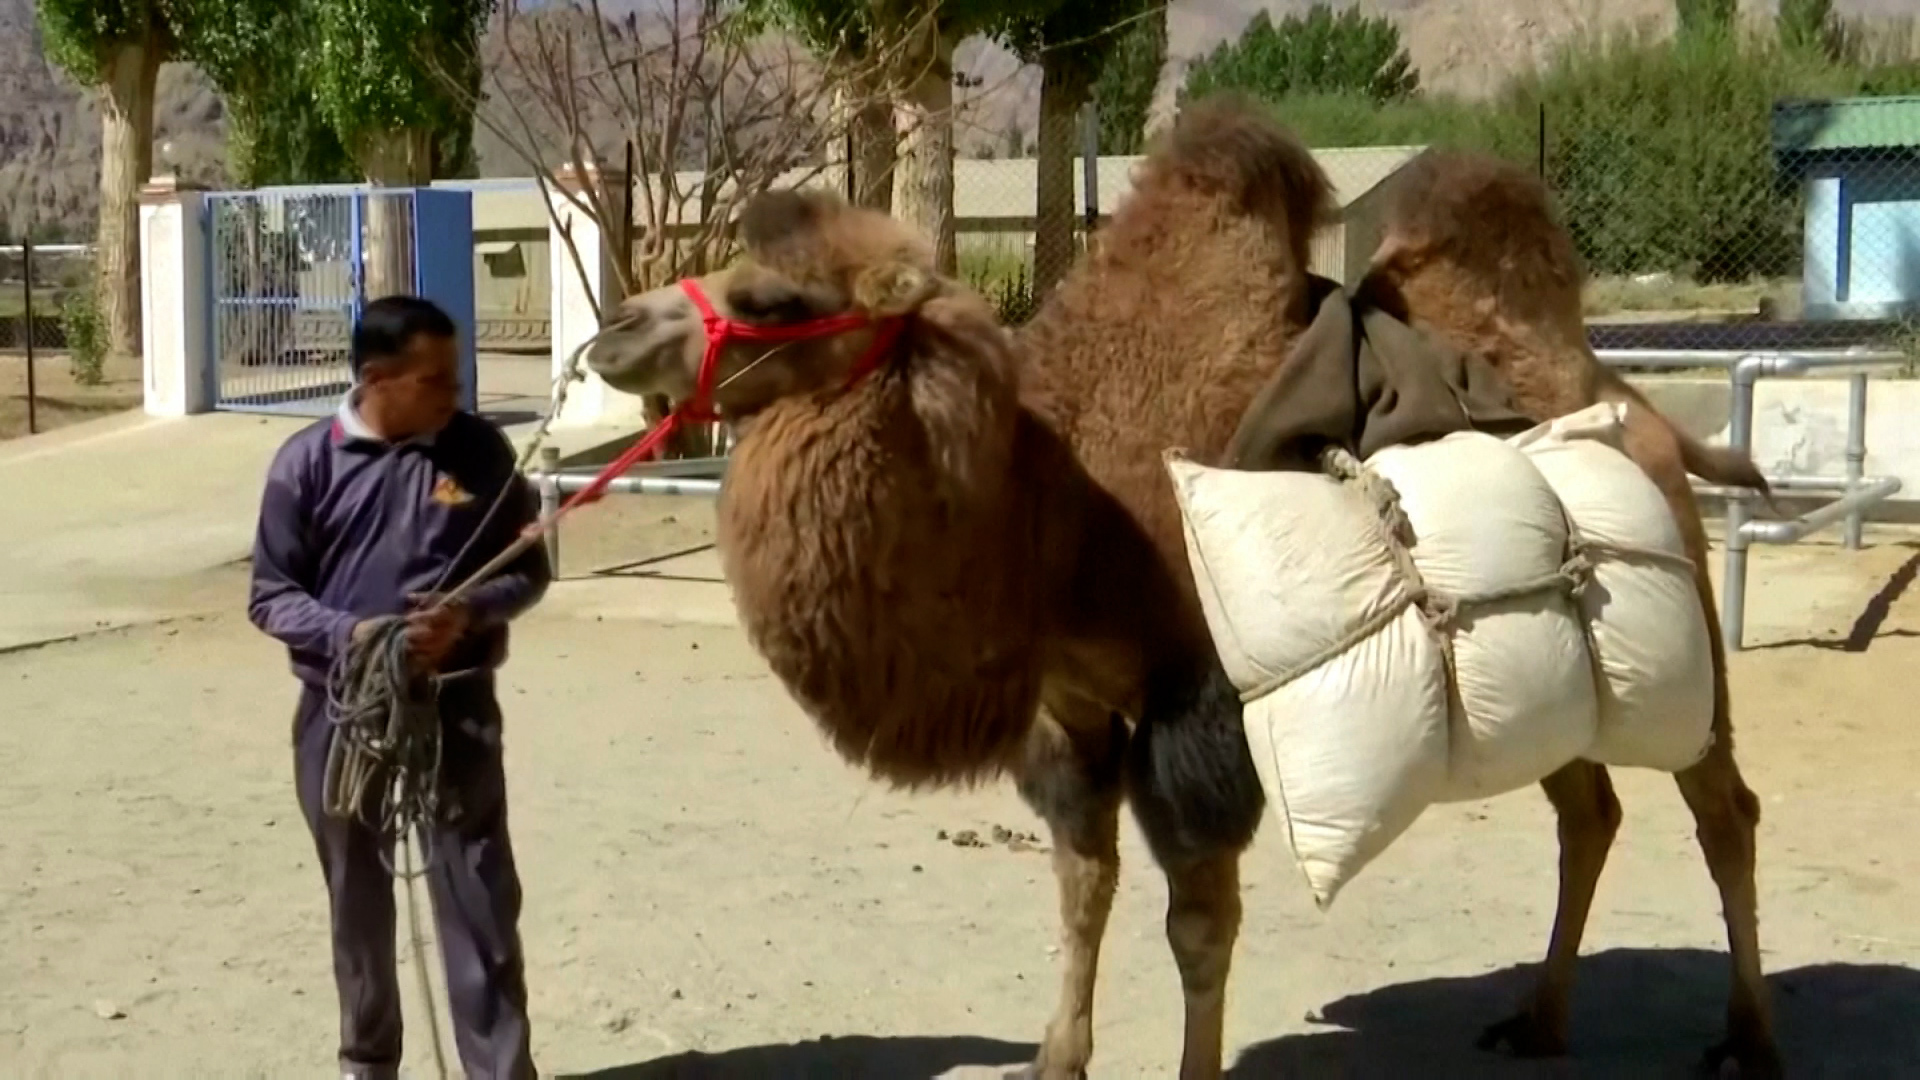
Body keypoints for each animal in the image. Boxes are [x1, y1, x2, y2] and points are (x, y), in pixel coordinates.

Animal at [583, 96, 1781, 1068]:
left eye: (772, 298)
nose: (615, 329)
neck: (1052, 513)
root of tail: (1633, 399)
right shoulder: (1071, 709)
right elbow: (1082, 888)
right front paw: (1055, 1059)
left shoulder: (1196, 704)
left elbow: (1198, 928)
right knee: (1590, 809)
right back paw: (1538, 1022)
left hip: (1681, 631)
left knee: (1724, 807)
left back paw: (1747, 1040)